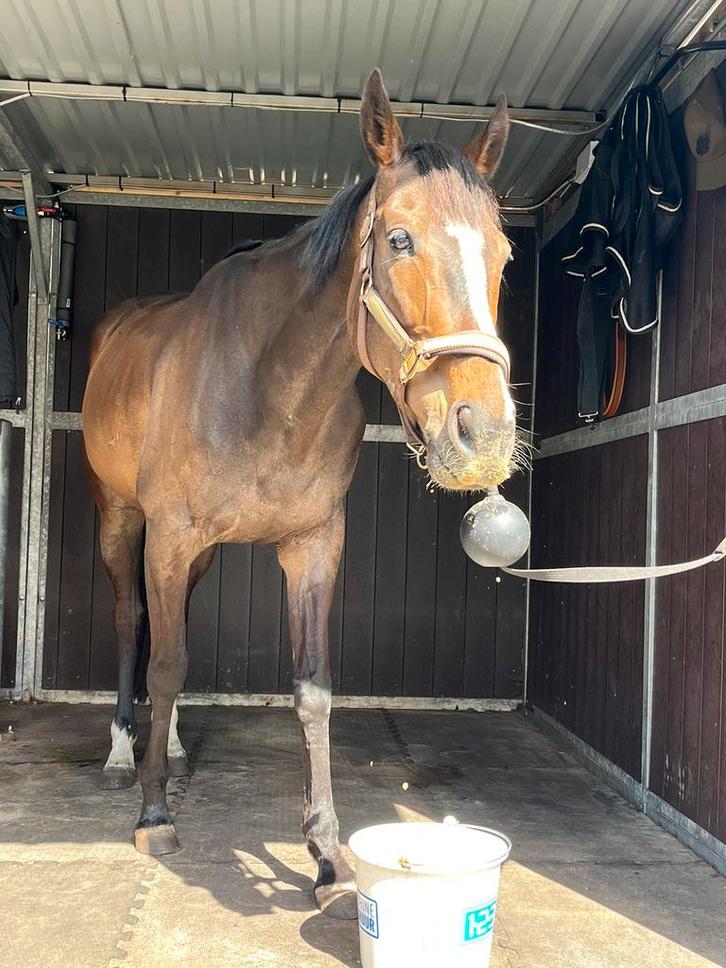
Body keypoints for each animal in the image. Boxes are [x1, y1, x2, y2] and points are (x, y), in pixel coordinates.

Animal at [82, 69, 518, 919]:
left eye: (505, 254)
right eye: (398, 239)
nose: (482, 433)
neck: (266, 384)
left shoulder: (312, 544)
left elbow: (311, 690)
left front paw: (326, 853)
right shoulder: (170, 534)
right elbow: (165, 663)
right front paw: (154, 815)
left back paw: (170, 745)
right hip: (123, 522)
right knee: (131, 622)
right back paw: (124, 753)